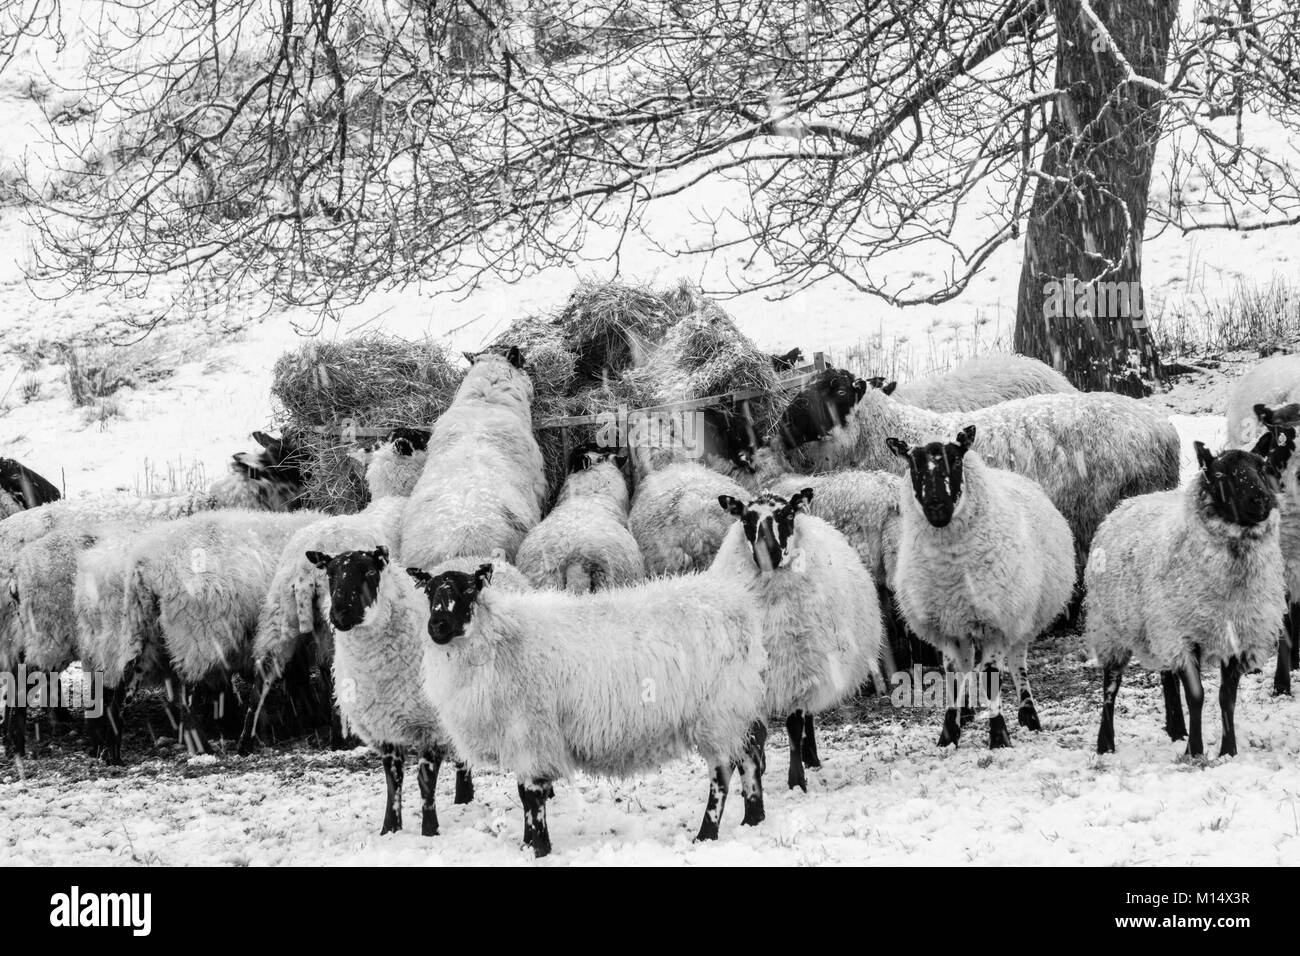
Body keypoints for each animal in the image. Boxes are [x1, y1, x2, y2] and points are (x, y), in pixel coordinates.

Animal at [407, 560, 769, 857]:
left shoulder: (532, 732)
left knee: (722, 774)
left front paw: (540, 848)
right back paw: (754, 818)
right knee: (750, 754)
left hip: (718, 710)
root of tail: (739, 604)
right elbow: (523, 794)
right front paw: (526, 843)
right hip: (737, 706)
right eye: (427, 590)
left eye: (469, 589)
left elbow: (532, 795)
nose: (437, 626)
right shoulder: (520, 737)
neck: (498, 641)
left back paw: (706, 833)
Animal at [710, 488, 885, 791]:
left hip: (815, 662)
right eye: (746, 519)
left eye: (786, 514)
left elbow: (793, 726)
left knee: (808, 717)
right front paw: (758, 768)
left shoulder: (799, 671)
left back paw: (811, 758)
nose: (766, 553)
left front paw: (796, 780)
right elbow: (757, 729)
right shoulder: (755, 676)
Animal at [886, 426, 1075, 748]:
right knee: (967, 668)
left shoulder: (997, 622)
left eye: (955, 459)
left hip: (1022, 616)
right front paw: (948, 734)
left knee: (1018, 662)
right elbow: (953, 676)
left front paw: (999, 736)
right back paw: (966, 713)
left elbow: (989, 676)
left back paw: (1029, 715)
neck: (952, 572)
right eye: (913, 464)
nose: (937, 507)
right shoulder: (947, 626)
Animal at [1087, 432, 1293, 758]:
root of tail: (1124, 504)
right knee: (1111, 684)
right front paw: (1195, 751)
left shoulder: (1235, 635)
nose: (1261, 499)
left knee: (1166, 675)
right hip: (1110, 627)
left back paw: (1176, 729)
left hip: (1157, 625)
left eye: (1262, 468)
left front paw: (1228, 751)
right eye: (1220, 474)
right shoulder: (1184, 635)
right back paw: (1105, 743)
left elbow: (1226, 697)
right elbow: (1197, 695)